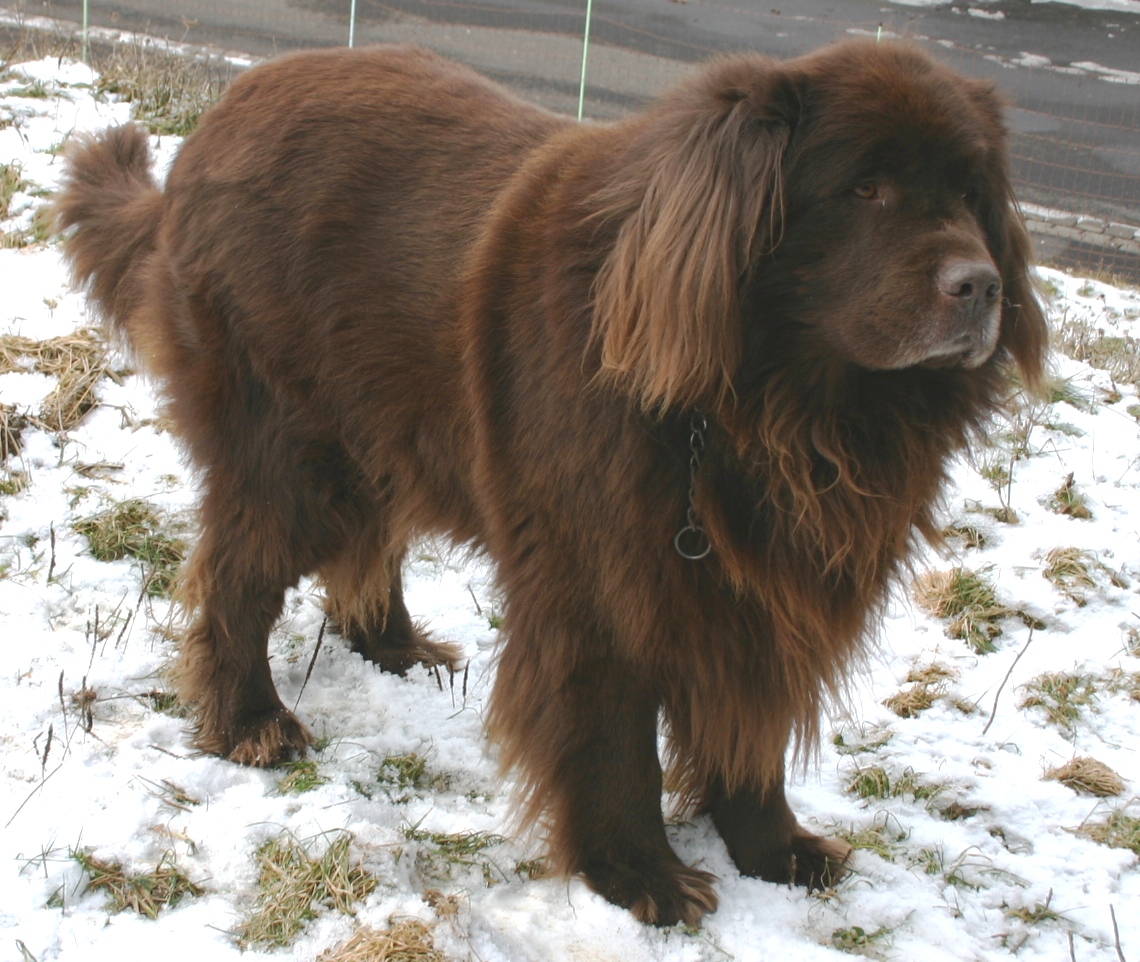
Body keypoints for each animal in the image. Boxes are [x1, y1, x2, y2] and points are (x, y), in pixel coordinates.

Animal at [57, 41, 1044, 930]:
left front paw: (775, 851)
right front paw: (641, 877)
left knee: (367, 542)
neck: (765, 408)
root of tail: (216, 122)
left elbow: (748, 728)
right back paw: (251, 721)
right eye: (864, 190)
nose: (982, 287)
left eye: (971, 194)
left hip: (382, 421)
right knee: (238, 577)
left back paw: (394, 647)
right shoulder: (600, 581)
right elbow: (614, 742)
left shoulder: (753, 596)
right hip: (291, 447)